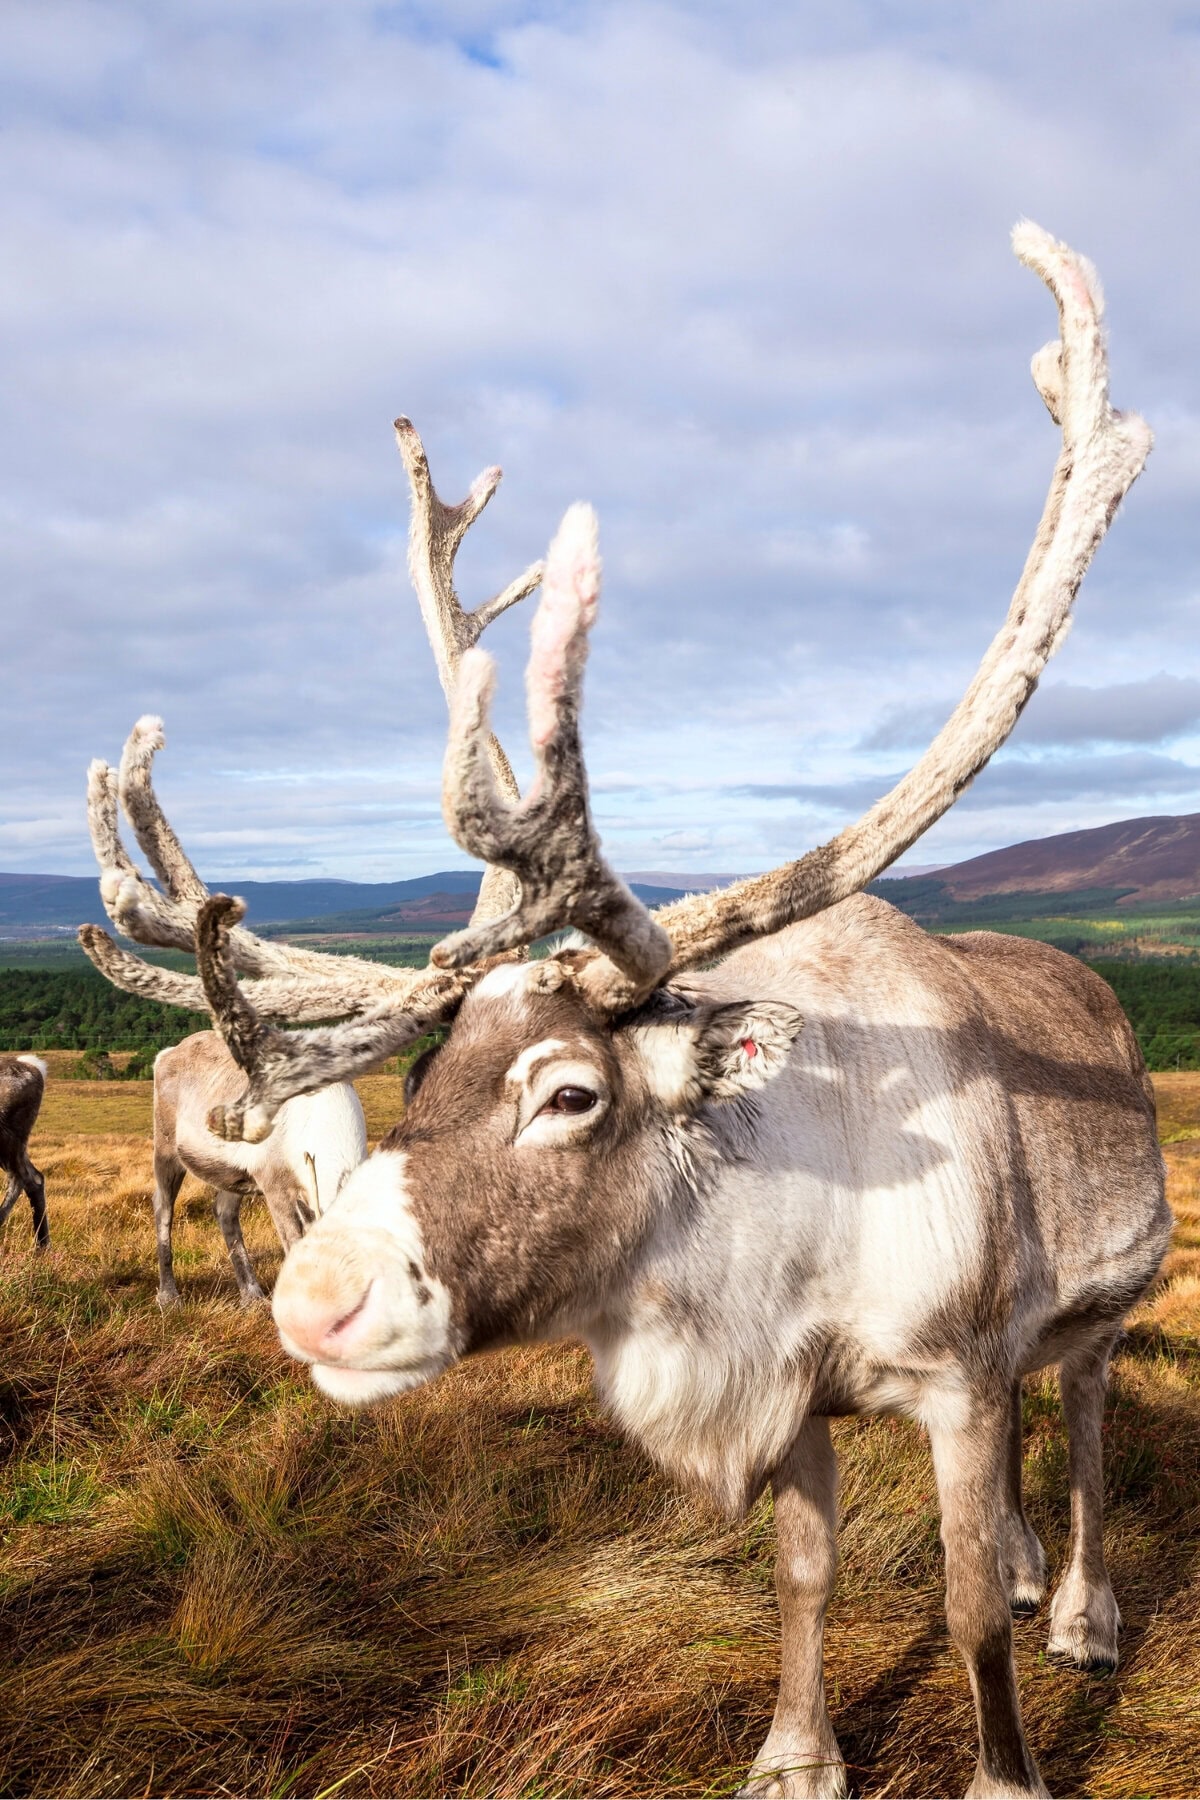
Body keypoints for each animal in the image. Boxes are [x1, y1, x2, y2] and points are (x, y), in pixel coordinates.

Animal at [81, 225, 1171, 1799]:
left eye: (569, 1091)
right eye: (422, 1081)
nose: (314, 1302)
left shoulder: (954, 1375)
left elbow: (963, 1611)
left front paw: (1006, 1767)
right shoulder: (798, 1390)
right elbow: (800, 1572)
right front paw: (794, 1755)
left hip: (1104, 1300)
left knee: (1079, 1413)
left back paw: (1078, 1606)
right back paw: (1037, 1569)